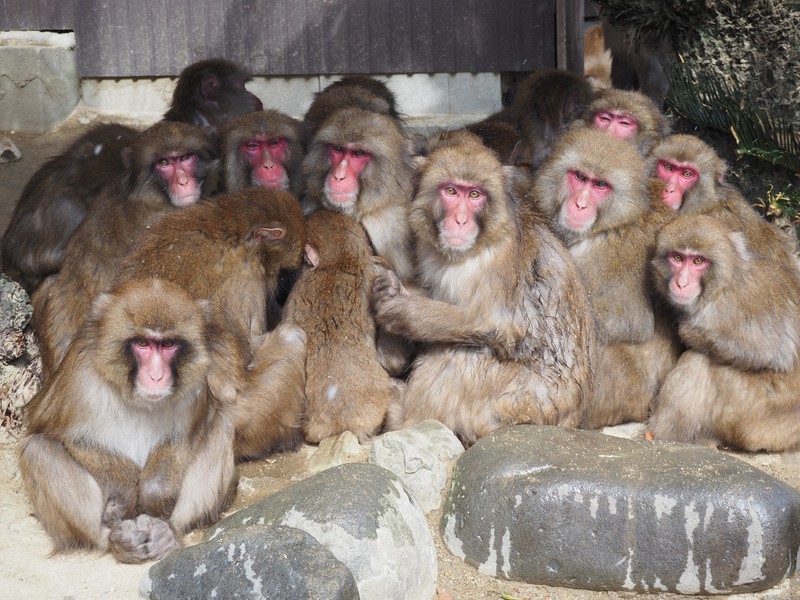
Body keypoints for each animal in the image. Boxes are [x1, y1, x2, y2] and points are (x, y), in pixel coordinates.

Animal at [19, 278, 236, 563]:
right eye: (142, 343)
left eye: (168, 345)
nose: (156, 376)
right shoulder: (78, 378)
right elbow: (64, 436)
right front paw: (125, 493)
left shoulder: (196, 383)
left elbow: (184, 438)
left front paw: (152, 497)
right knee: (38, 450)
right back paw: (115, 539)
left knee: (222, 426)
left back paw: (167, 533)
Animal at [115, 188, 307, 459]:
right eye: (284, 271)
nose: (282, 289)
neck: (228, 233)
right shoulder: (244, 275)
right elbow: (249, 350)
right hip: (250, 421)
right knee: (292, 338)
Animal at [371, 131, 596, 446]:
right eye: (451, 191)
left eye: (475, 195)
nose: (460, 221)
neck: (481, 242)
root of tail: (570, 423)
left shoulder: (495, 262)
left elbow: (492, 323)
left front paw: (397, 311)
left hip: (520, 405)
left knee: (460, 353)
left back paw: (402, 417)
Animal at [647, 215, 800, 451]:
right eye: (677, 258)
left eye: (698, 261)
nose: (682, 283)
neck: (723, 283)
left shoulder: (732, 306)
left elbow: (770, 352)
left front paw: (688, 331)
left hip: (759, 418)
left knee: (699, 360)